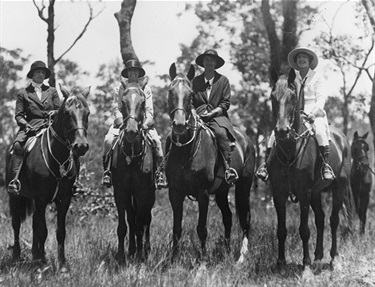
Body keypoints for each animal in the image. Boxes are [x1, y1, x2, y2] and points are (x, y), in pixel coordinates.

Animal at [5, 85, 90, 268]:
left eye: (87, 113)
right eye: (67, 113)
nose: (80, 146)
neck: (56, 157)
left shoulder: (64, 199)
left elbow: (60, 231)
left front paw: (62, 262)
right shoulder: (41, 198)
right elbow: (43, 230)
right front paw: (43, 262)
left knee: (34, 223)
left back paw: (35, 254)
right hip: (15, 196)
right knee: (16, 223)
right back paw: (17, 256)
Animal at [109, 80, 156, 264]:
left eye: (142, 102)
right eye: (123, 101)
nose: (130, 131)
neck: (131, 154)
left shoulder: (143, 192)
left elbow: (140, 224)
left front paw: (141, 255)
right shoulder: (121, 191)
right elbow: (124, 225)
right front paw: (122, 255)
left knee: (146, 220)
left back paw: (146, 249)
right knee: (132, 218)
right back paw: (132, 250)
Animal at [167, 63, 258, 264]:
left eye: (190, 94)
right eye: (170, 91)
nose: (179, 124)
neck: (187, 150)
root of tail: (246, 139)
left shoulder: (203, 194)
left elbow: (201, 229)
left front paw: (202, 261)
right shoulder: (175, 193)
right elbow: (176, 228)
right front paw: (173, 260)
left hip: (244, 186)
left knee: (245, 218)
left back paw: (241, 257)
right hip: (222, 192)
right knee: (228, 217)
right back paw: (226, 250)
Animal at [268, 68, 356, 272]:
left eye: (292, 97)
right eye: (272, 97)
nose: (282, 131)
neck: (290, 150)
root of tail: (343, 139)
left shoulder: (303, 192)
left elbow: (304, 229)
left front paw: (306, 264)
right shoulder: (279, 193)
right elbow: (281, 229)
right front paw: (280, 262)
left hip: (339, 188)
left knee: (333, 220)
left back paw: (333, 258)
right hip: (316, 192)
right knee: (321, 219)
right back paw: (318, 256)